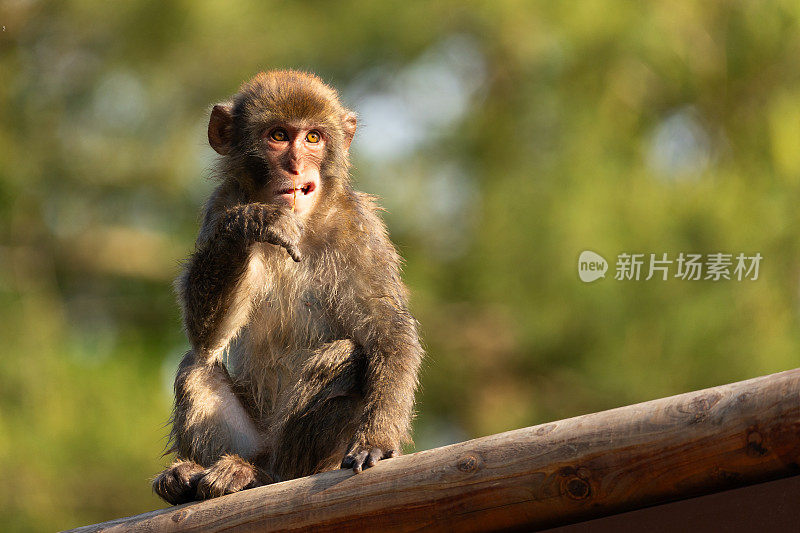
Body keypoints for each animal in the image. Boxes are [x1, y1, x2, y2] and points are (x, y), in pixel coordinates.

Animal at [152, 69, 424, 502]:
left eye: (313, 138)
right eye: (278, 136)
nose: (296, 167)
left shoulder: (359, 230)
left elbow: (388, 331)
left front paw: (378, 440)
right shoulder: (220, 204)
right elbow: (207, 337)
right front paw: (255, 221)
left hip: (304, 456)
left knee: (344, 356)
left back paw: (263, 477)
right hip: (249, 440)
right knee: (196, 364)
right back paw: (191, 476)